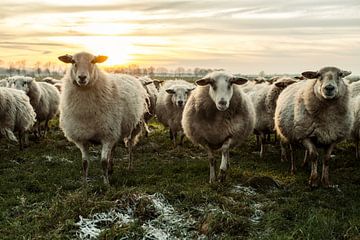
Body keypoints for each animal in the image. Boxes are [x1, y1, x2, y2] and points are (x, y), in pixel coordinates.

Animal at [58, 51, 148, 184]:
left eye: (93, 61)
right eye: (73, 61)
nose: (82, 77)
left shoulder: (107, 135)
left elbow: (103, 162)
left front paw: (106, 183)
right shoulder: (82, 138)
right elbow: (84, 163)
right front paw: (85, 183)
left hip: (135, 126)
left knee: (130, 146)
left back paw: (129, 166)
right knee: (114, 148)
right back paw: (111, 169)